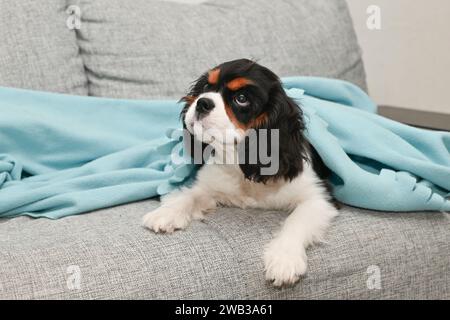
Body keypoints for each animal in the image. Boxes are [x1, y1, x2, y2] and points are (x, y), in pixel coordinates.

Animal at [143, 58, 338, 286]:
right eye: (206, 87)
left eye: (241, 99)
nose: (202, 102)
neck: (239, 162)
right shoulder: (210, 183)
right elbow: (189, 195)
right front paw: (166, 212)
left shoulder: (319, 198)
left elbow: (297, 221)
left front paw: (284, 258)